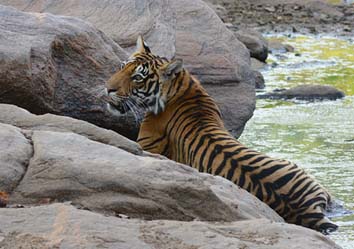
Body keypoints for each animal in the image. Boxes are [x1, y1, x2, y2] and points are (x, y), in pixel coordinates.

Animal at [103, 36, 338, 234]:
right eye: (122, 67)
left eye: (137, 78)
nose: (107, 89)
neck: (182, 87)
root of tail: (307, 209)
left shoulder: (147, 144)